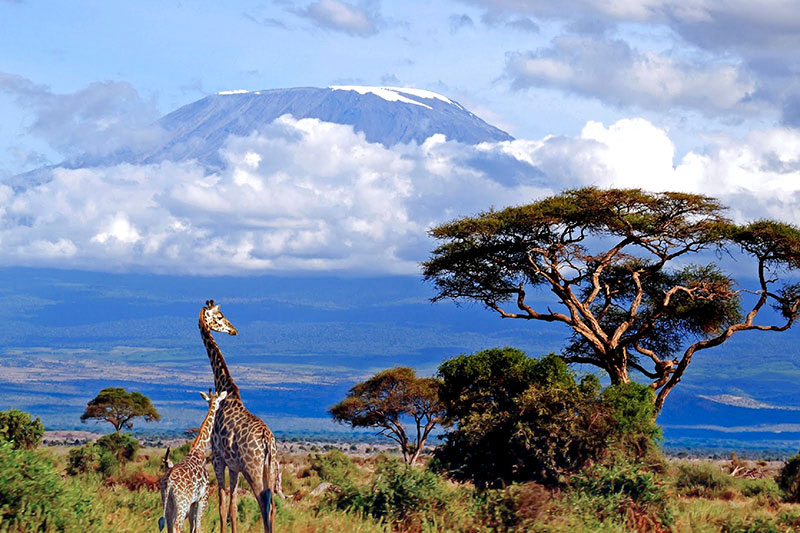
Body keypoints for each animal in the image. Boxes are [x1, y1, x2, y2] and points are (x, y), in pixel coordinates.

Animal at [159, 386, 228, 532]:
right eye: (219, 402)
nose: (219, 409)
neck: (199, 451)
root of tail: (169, 483)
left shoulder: (193, 502)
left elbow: (193, 526)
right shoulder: (202, 498)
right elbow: (198, 526)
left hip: (167, 502)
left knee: (169, 526)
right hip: (182, 503)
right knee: (177, 526)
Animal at [200, 300, 282, 532]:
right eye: (219, 317)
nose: (233, 330)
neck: (226, 388)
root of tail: (267, 440)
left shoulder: (218, 458)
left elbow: (221, 506)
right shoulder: (234, 466)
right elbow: (233, 508)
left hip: (252, 469)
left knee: (263, 503)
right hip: (270, 469)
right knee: (272, 506)